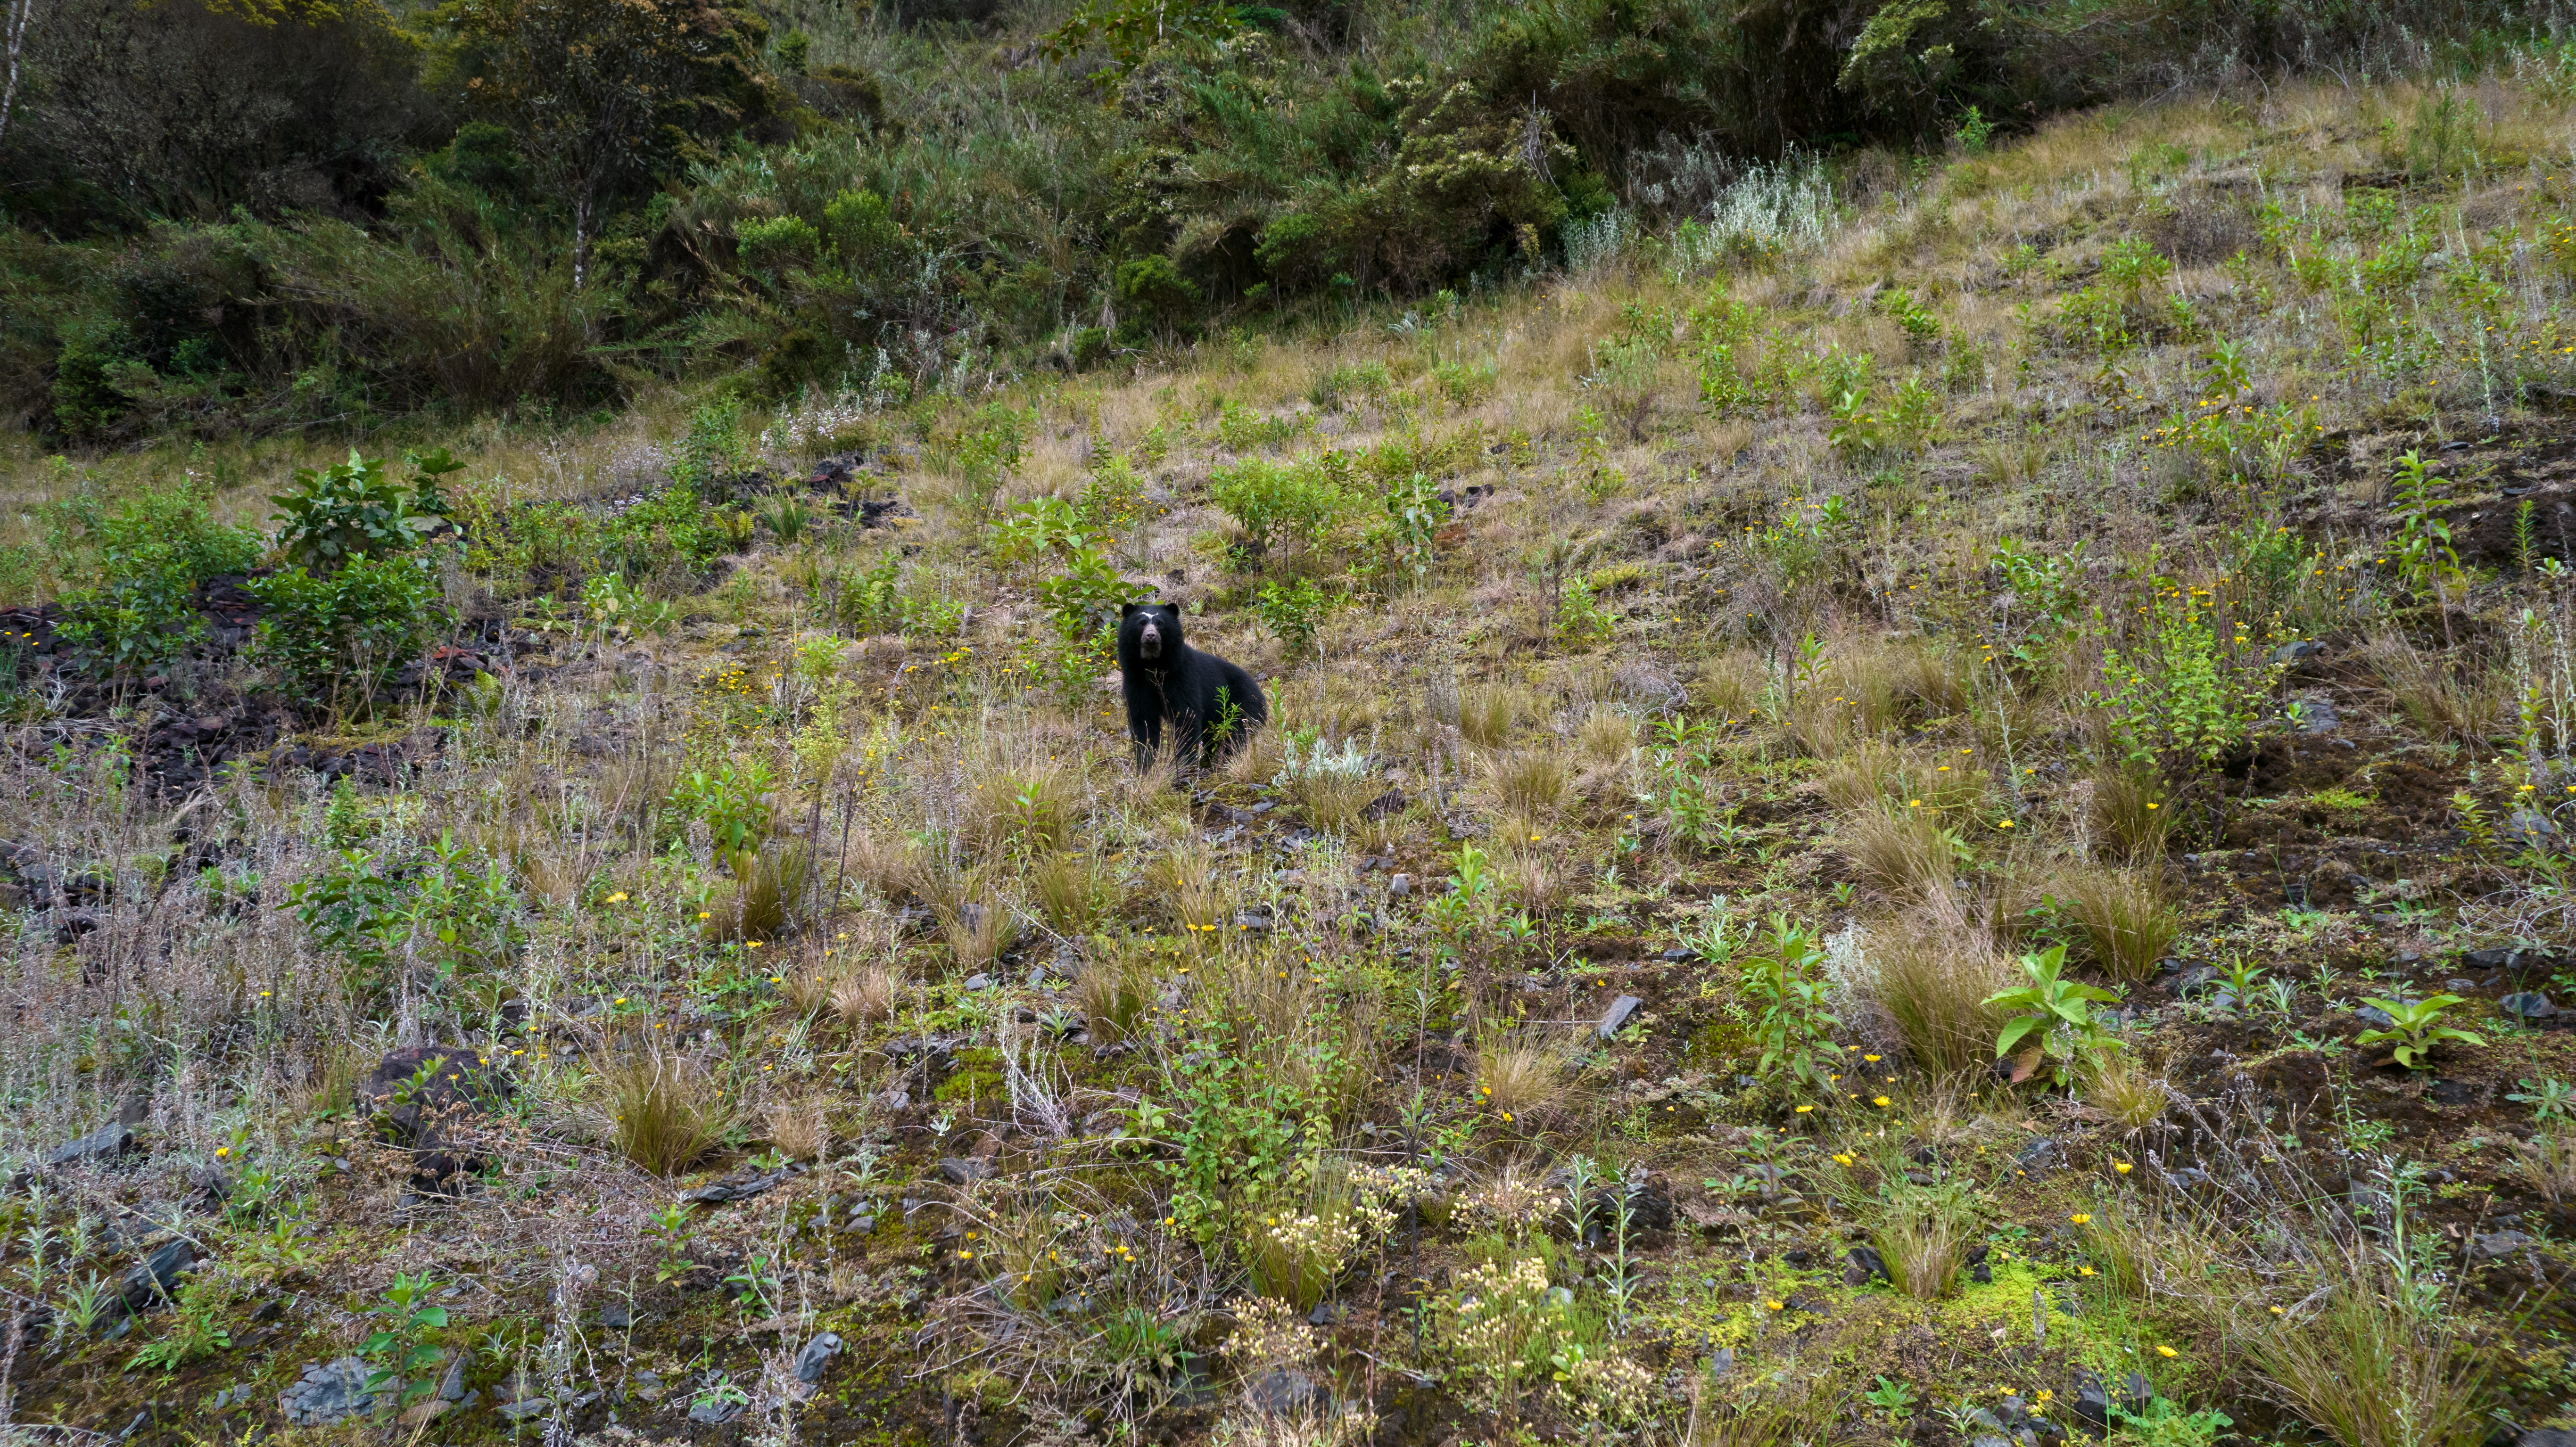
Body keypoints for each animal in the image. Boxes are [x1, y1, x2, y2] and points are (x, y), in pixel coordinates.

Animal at [1117, 602, 1268, 768]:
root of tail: (1260, 692)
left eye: (1160, 624)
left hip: (1243, 706)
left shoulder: (1182, 678)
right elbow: (1143, 721)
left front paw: (1185, 764)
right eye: (1141, 623)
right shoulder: (1136, 682)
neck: (1154, 666)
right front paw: (1146, 765)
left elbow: (1187, 716)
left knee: (1238, 733)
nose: (1151, 636)